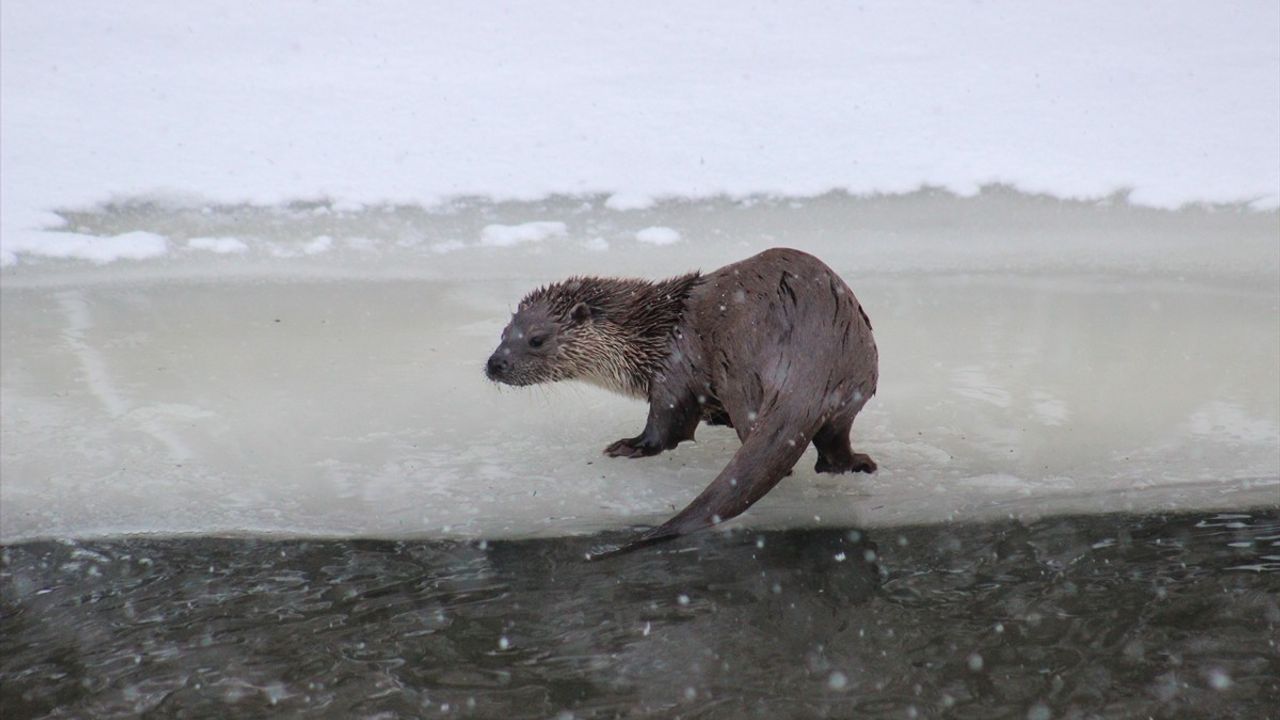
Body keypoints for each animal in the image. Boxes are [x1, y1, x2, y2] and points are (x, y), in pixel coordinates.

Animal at [483, 245, 875, 556]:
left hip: (740, 372)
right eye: (503, 333)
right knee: (834, 439)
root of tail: (810, 355)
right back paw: (856, 464)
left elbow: (666, 425)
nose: (494, 364)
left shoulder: (672, 369)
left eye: (536, 339)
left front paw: (629, 446)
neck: (647, 337)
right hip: (857, 376)